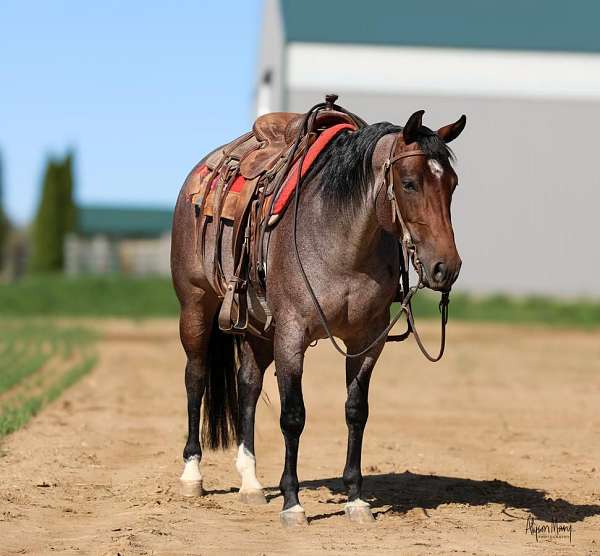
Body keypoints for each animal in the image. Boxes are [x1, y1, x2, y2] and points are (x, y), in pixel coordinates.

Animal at [171, 105, 466, 524]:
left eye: (452, 184)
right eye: (409, 183)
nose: (446, 267)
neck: (340, 238)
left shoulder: (366, 341)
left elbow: (357, 411)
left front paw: (356, 500)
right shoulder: (292, 335)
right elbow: (293, 416)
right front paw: (293, 502)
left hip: (259, 328)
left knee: (248, 385)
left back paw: (251, 483)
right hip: (196, 305)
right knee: (195, 377)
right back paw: (192, 475)